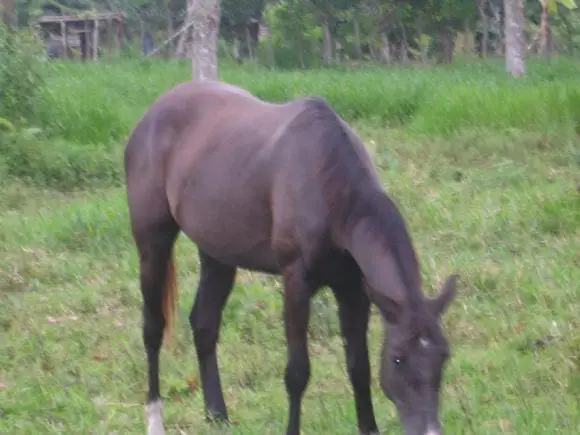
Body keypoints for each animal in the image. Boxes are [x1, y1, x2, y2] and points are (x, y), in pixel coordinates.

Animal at [124, 79, 460, 435]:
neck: (328, 186)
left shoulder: (354, 290)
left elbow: (360, 366)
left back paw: (217, 414)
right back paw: (155, 418)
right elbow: (298, 372)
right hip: (153, 243)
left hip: (218, 255)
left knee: (204, 323)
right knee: (153, 328)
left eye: (444, 355)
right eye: (398, 357)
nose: (429, 431)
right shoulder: (297, 283)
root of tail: (151, 114)